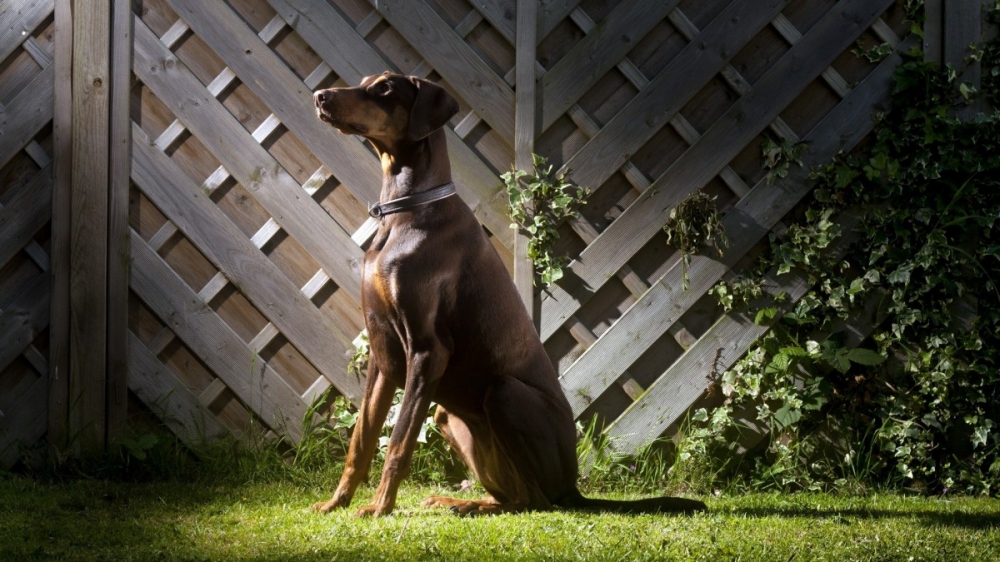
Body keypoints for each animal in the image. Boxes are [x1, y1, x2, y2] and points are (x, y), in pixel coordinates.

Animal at [308, 72, 708, 516]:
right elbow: (360, 440)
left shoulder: (428, 351)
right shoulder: (383, 354)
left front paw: (379, 508)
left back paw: (471, 506)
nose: (320, 96)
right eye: (364, 83)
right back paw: (459, 500)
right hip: (447, 417)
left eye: (384, 89)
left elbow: (398, 442)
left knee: (534, 501)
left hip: (504, 394)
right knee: (513, 494)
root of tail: (573, 487)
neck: (405, 211)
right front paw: (336, 503)